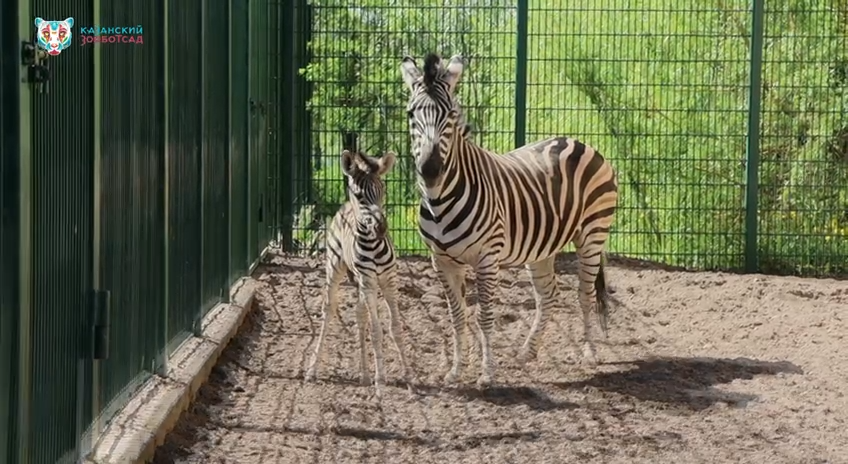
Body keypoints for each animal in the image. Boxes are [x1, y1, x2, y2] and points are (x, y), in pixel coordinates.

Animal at [304, 148, 414, 392]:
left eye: (382, 191)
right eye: (360, 195)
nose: (382, 228)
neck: (373, 245)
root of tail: (344, 206)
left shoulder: (389, 281)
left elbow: (395, 327)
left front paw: (409, 375)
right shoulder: (369, 282)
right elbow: (376, 331)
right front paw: (380, 379)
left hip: (361, 283)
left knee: (360, 314)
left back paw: (364, 374)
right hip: (336, 268)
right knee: (329, 309)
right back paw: (312, 369)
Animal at [400, 52, 620, 388]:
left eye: (451, 115)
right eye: (412, 114)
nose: (430, 169)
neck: (439, 202)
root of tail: (574, 140)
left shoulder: (486, 258)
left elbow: (485, 315)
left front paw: (487, 373)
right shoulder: (442, 261)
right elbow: (457, 316)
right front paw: (456, 370)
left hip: (592, 234)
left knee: (585, 293)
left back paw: (589, 353)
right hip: (542, 247)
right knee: (548, 295)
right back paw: (527, 352)